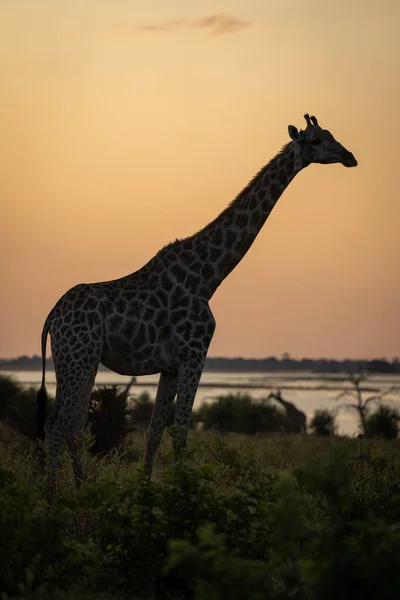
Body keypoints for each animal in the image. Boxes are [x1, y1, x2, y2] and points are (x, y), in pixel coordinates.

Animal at [36, 112, 356, 492]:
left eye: (332, 134)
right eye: (316, 140)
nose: (350, 156)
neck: (208, 277)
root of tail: (52, 317)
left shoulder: (171, 367)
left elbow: (154, 434)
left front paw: (145, 491)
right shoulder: (194, 355)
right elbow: (180, 434)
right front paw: (182, 491)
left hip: (78, 361)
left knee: (71, 422)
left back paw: (83, 488)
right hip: (78, 359)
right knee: (58, 423)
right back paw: (54, 495)